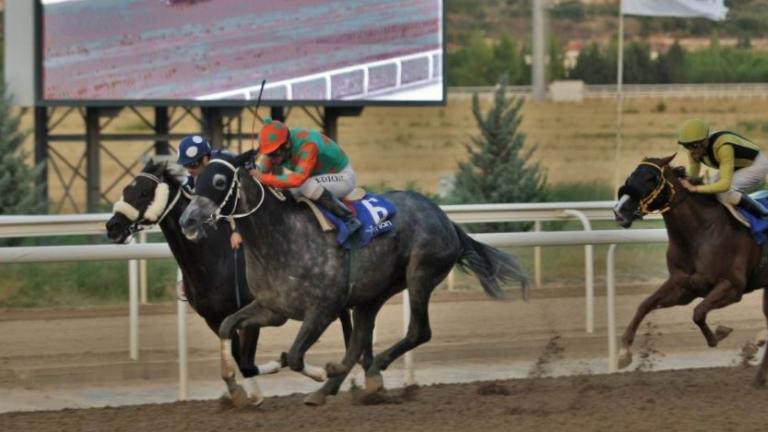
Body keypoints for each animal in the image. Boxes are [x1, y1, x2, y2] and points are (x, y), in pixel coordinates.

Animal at [180, 151, 532, 404]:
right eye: (195, 182)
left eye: (220, 181)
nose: (188, 221)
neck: (278, 237)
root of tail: (446, 219)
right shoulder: (272, 309)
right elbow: (227, 326)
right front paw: (235, 389)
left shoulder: (322, 309)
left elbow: (294, 356)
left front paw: (320, 372)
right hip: (371, 293)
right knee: (362, 337)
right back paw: (336, 386)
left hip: (420, 274)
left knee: (418, 331)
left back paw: (365, 372)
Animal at [612, 154, 768, 384]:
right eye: (631, 175)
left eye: (651, 178)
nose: (619, 211)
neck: (701, 233)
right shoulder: (685, 287)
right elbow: (644, 305)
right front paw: (624, 354)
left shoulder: (733, 287)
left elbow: (698, 313)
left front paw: (719, 334)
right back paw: (758, 374)